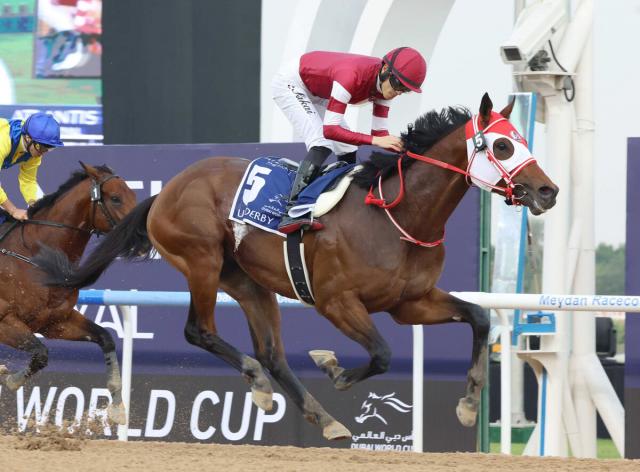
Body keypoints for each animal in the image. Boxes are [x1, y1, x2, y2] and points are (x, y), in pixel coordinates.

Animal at [0, 163, 136, 425]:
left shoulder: (55, 322)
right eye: (115, 198)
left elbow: (105, 337)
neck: (36, 257)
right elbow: (41, 354)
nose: (141, 231)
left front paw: (117, 406)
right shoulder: (5, 321)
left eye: (134, 196)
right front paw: (10, 379)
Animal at [34, 94, 558, 440]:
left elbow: (480, 316)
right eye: (502, 146)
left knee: (272, 354)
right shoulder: (336, 301)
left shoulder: (411, 301)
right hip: (202, 260)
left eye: (521, 140)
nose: (548, 191)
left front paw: (469, 405)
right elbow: (383, 353)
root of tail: (167, 191)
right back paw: (263, 387)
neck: (397, 214)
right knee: (200, 331)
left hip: (249, 282)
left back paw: (322, 418)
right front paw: (335, 368)